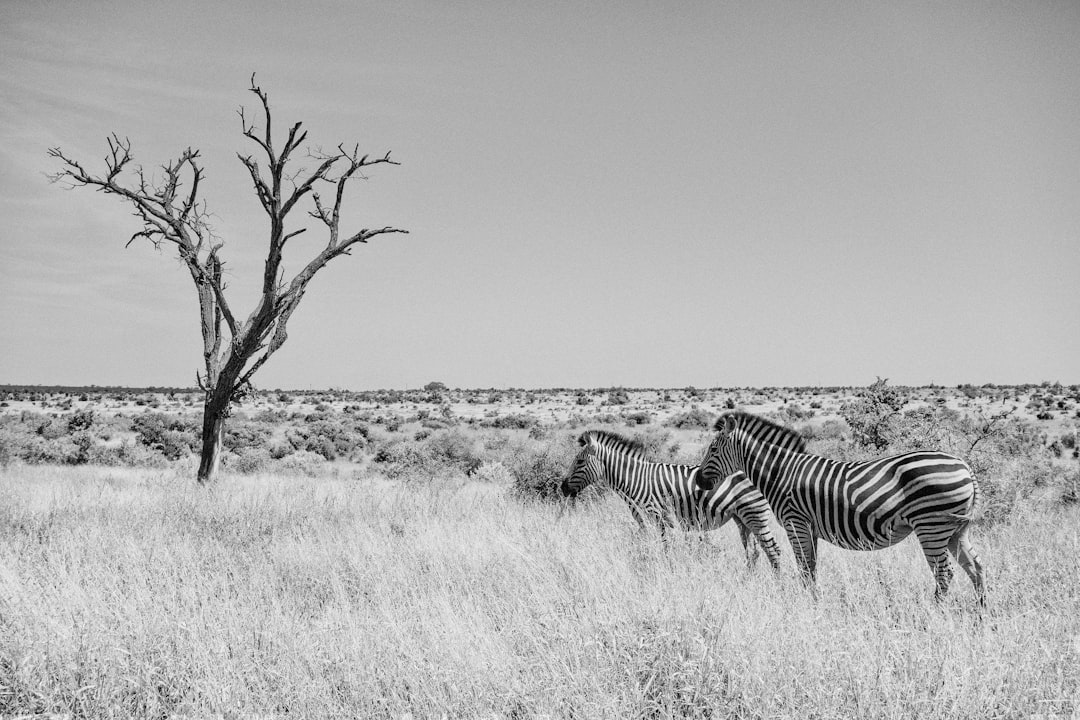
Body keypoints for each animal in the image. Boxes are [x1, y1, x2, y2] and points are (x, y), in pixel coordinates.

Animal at [561, 431, 781, 569]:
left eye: (579, 461)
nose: (562, 488)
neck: (636, 479)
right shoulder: (644, 520)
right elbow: (644, 545)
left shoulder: (657, 515)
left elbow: (665, 547)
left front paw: (666, 568)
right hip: (742, 518)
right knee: (754, 551)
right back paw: (748, 579)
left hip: (754, 514)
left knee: (773, 550)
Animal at [695, 410, 984, 604]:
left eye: (712, 449)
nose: (698, 480)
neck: (781, 472)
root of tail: (965, 466)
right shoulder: (808, 526)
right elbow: (811, 568)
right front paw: (815, 601)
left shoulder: (794, 522)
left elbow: (804, 568)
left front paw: (807, 606)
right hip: (956, 529)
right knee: (976, 568)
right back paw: (981, 616)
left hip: (931, 526)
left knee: (945, 574)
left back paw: (935, 614)